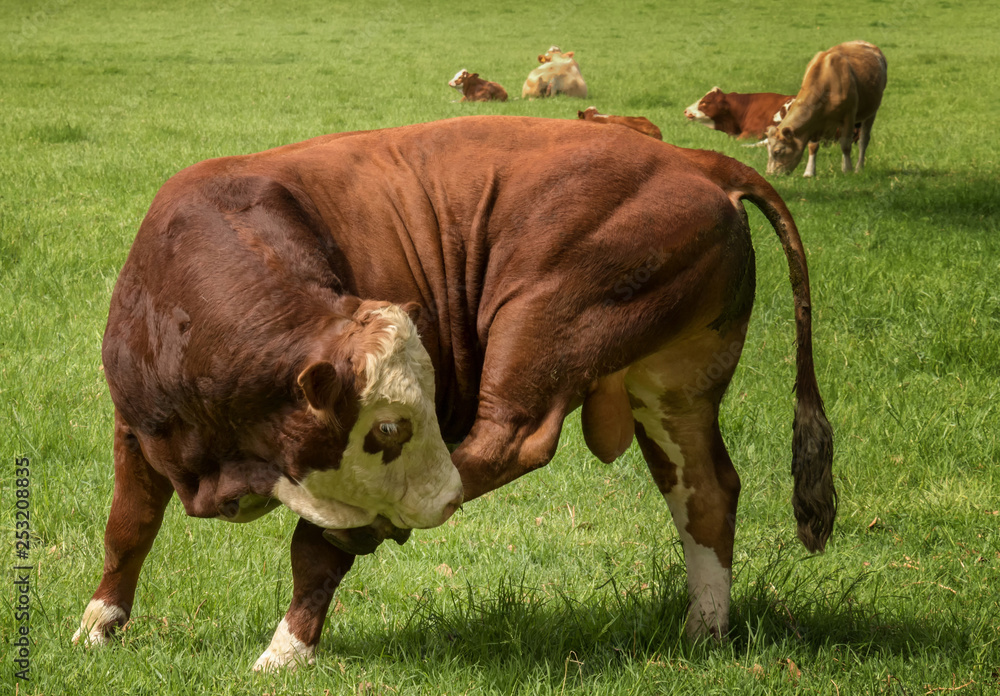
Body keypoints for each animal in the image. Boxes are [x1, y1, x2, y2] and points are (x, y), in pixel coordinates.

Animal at [74, 116, 834, 672]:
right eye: (387, 428)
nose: (441, 501)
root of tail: (690, 158)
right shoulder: (136, 428)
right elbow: (128, 528)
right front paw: (98, 625)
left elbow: (315, 552)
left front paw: (285, 654)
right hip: (673, 389)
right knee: (706, 490)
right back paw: (704, 628)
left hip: (537, 318)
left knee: (512, 440)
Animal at [766, 40, 887, 177]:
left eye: (777, 151)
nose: (769, 174)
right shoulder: (815, 122)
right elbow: (813, 146)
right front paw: (809, 172)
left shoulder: (849, 115)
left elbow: (846, 144)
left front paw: (848, 169)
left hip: (871, 112)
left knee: (863, 140)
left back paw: (858, 167)